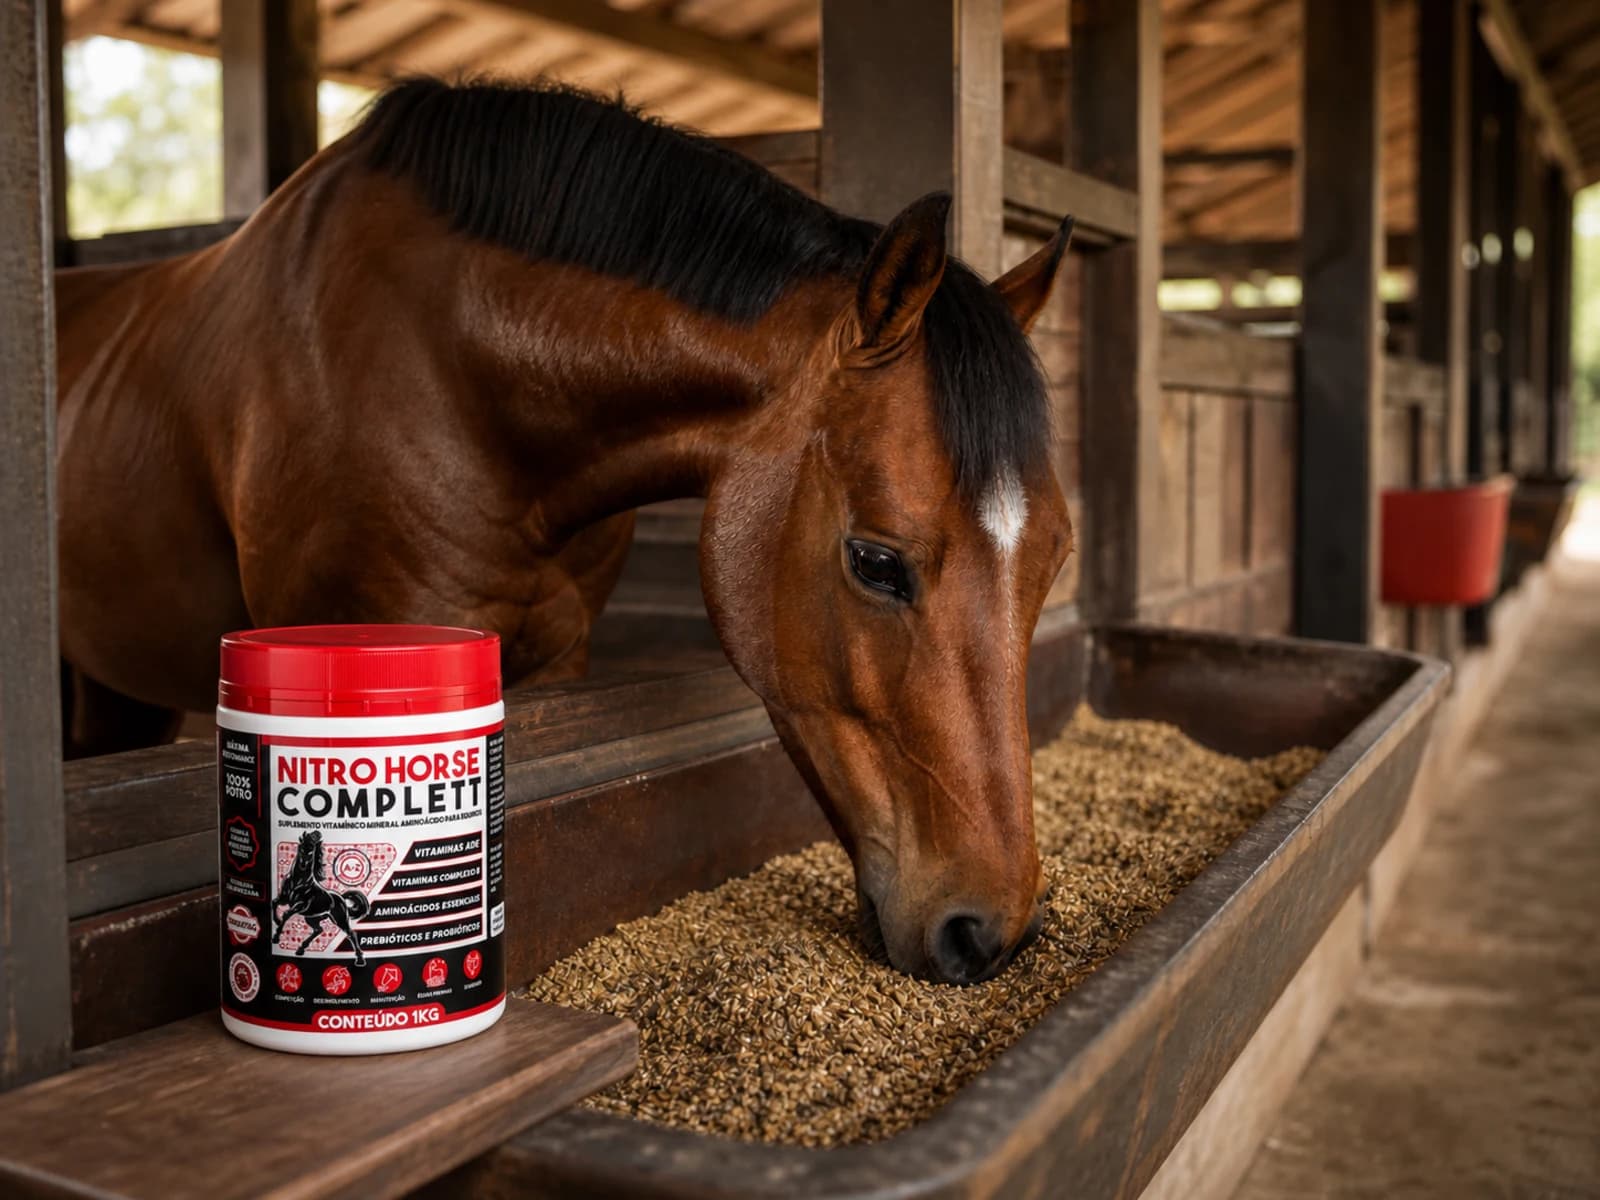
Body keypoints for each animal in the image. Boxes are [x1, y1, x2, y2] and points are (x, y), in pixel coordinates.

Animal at [272, 830, 372, 966]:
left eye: (312, 850)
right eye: (301, 847)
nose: (303, 865)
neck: (298, 881)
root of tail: (341, 898)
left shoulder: (300, 905)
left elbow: (286, 913)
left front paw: (276, 936)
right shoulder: (284, 899)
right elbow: (274, 902)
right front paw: (277, 922)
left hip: (339, 919)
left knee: (351, 933)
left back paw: (360, 959)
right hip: (312, 917)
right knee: (318, 930)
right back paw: (301, 948)